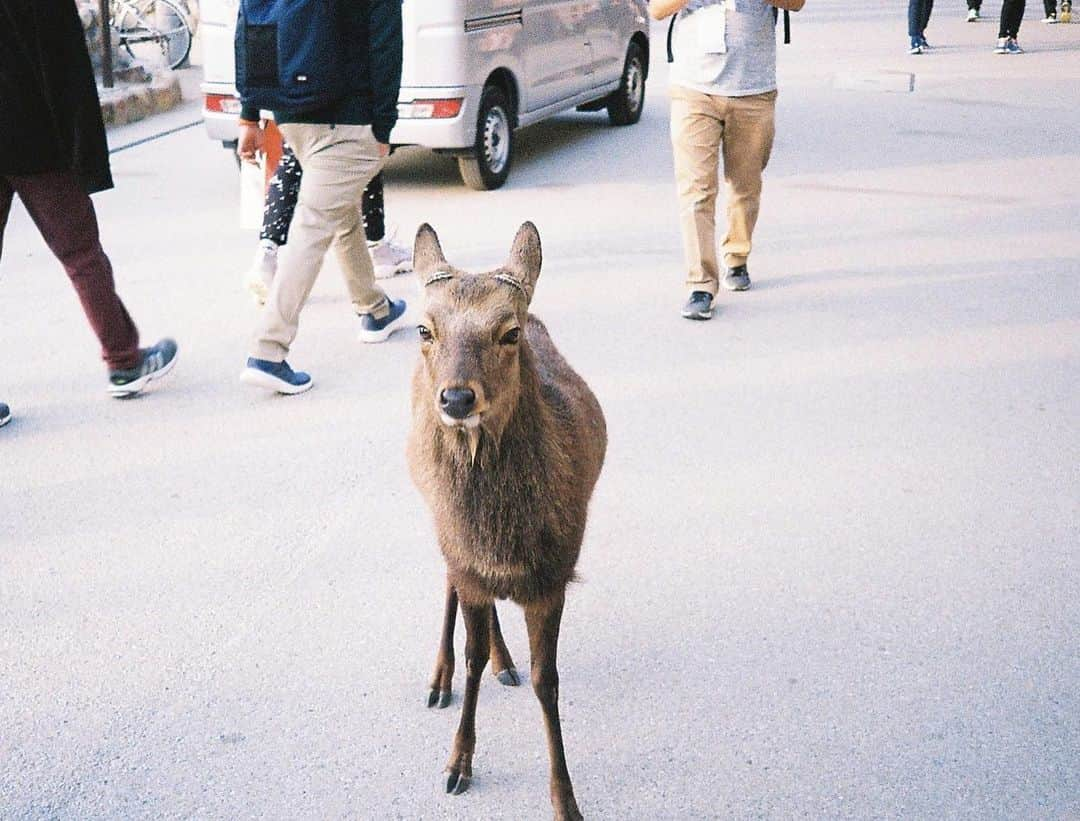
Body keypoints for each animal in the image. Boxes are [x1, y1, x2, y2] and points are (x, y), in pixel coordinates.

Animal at [406, 224, 609, 821]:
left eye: (509, 332)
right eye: (424, 328)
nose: (456, 397)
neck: (504, 543)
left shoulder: (553, 576)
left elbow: (548, 682)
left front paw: (566, 799)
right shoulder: (464, 555)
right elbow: (471, 656)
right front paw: (457, 765)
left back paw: (505, 660)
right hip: (440, 524)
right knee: (448, 584)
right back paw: (439, 677)